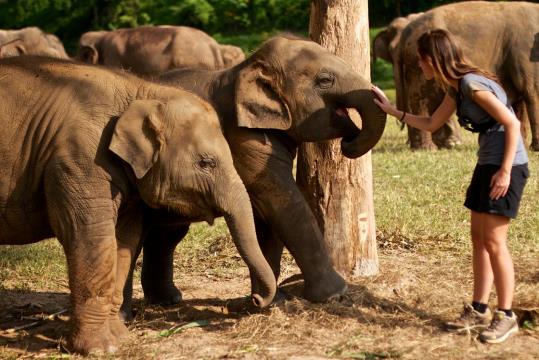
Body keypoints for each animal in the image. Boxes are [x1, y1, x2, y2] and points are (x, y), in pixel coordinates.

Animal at [0, 56, 276, 354]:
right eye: (206, 163)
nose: (254, 301)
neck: (141, 91)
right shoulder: (79, 163)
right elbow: (91, 237)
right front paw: (100, 349)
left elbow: (124, 242)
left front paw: (120, 337)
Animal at [119, 35, 388, 318]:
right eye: (325, 80)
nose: (348, 142)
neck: (245, 68)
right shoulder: (244, 138)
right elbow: (283, 202)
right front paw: (334, 294)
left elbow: (267, 216)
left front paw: (272, 301)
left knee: (168, 233)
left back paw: (167, 300)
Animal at [392, 1, 539, 150]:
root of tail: (405, 34)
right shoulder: (524, 51)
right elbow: (532, 92)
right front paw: (534, 149)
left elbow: (519, 100)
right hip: (419, 66)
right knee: (422, 99)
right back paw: (429, 148)